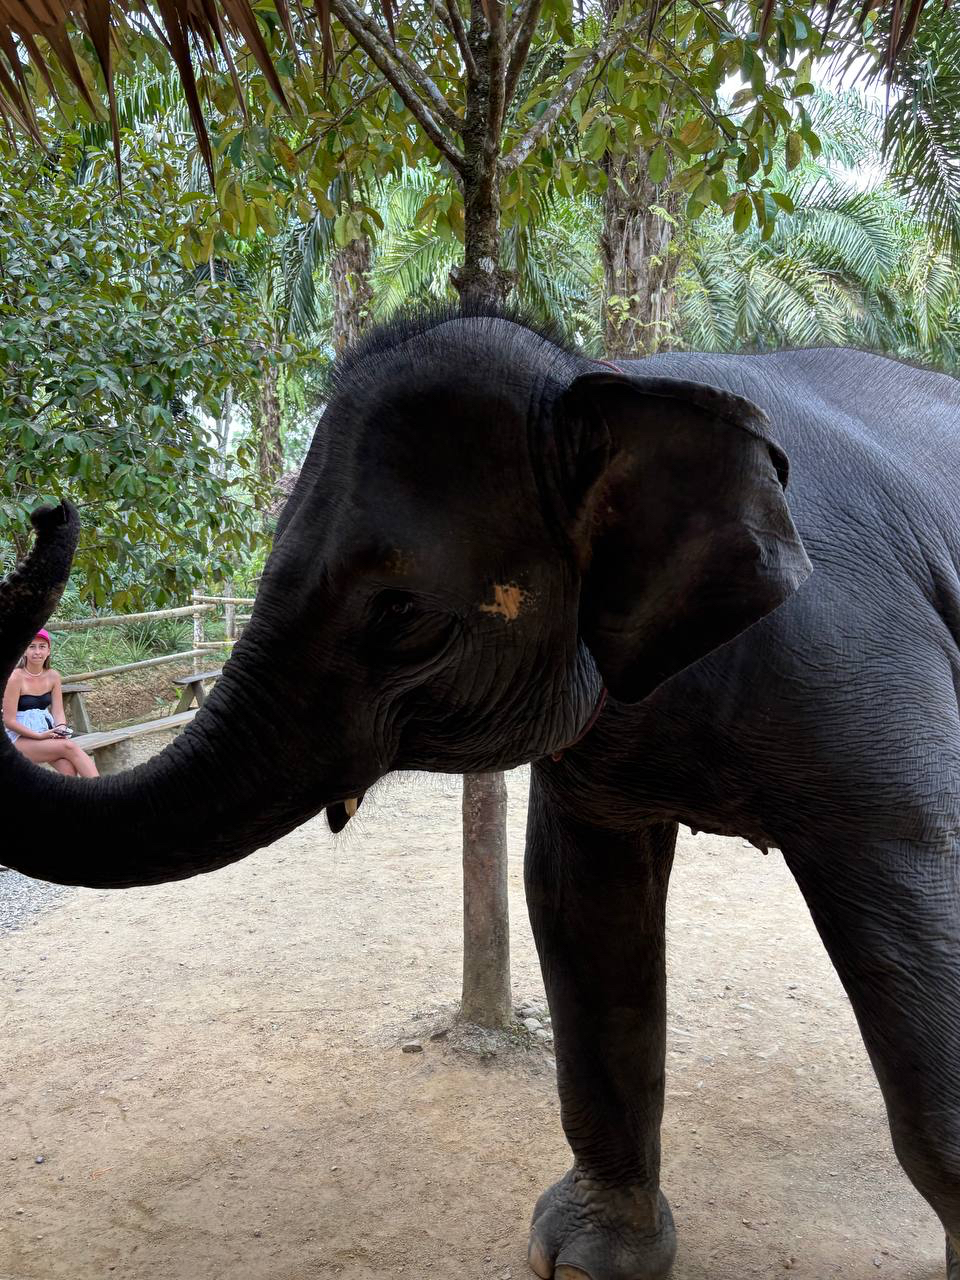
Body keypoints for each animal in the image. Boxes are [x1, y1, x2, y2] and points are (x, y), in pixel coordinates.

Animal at [2, 304, 960, 1280]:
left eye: (403, 616)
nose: (47, 508)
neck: (608, 380)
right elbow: (582, 907)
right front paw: (583, 1259)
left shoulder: (862, 666)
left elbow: (915, 903)